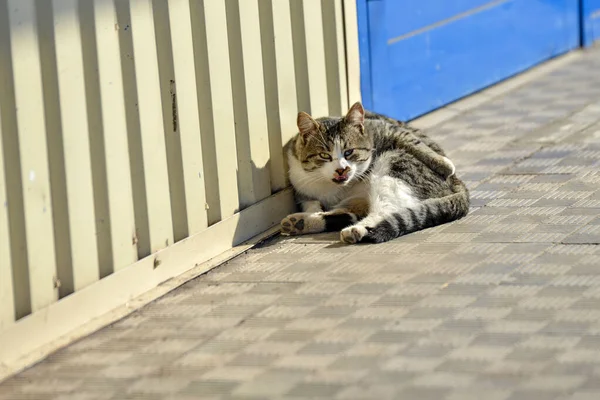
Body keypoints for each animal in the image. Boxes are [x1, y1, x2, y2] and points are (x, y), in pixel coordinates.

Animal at [282, 101, 468, 244]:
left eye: (349, 152)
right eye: (324, 155)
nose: (341, 169)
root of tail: (459, 184)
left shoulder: (386, 129)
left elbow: (412, 140)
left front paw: (443, 163)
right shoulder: (300, 184)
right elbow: (311, 202)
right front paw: (311, 210)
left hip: (394, 165)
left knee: (383, 211)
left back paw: (356, 230)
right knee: (352, 213)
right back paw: (300, 222)